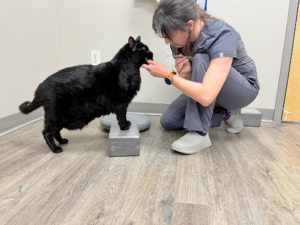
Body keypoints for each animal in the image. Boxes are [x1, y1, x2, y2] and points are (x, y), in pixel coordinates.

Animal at [19, 36, 152, 153]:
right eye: (144, 49)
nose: (152, 53)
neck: (128, 66)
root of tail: (40, 88)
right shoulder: (122, 103)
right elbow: (122, 116)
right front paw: (124, 126)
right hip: (56, 116)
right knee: (46, 133)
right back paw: (55, 148)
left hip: (61, 118)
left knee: (55, 131)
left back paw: (62, 141)